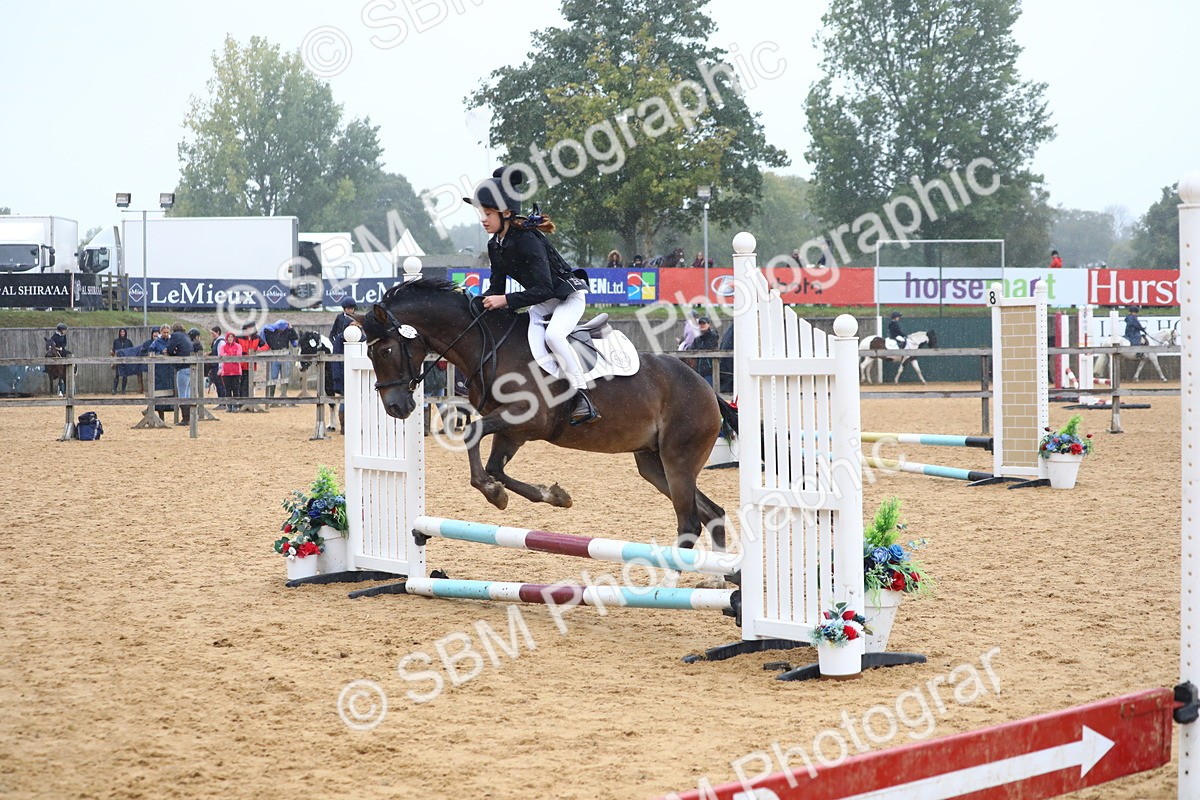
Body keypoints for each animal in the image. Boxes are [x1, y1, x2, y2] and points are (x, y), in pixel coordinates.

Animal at [354, 277, 735, 551]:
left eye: (386, 350)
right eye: (369, 354)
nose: (396, 408)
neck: (487, 344)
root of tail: (705, 389)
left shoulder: (525, 418)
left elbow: (472, 433)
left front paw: (493, 494)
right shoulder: (513, 431)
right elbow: (496, 468)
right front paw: (549, 496)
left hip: (678, 457)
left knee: (690, 522)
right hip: (653, 463)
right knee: (712, 514)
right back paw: (717, 581)